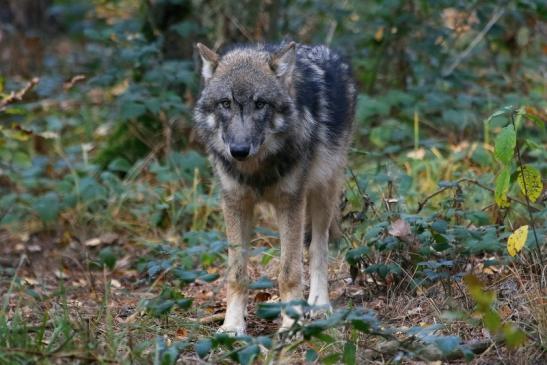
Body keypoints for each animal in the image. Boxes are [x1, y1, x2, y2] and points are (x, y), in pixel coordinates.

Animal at [195, 40, 358, 332]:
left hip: (324, 191)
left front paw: (291, 325)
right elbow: (236, 274)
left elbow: (290, 272)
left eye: (260, 104)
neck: (256, 169)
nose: (239, 150)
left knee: (318, 248)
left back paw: (319, 304)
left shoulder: (290, 202)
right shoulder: (234, 203)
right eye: (225, 103)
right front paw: (233, 326)